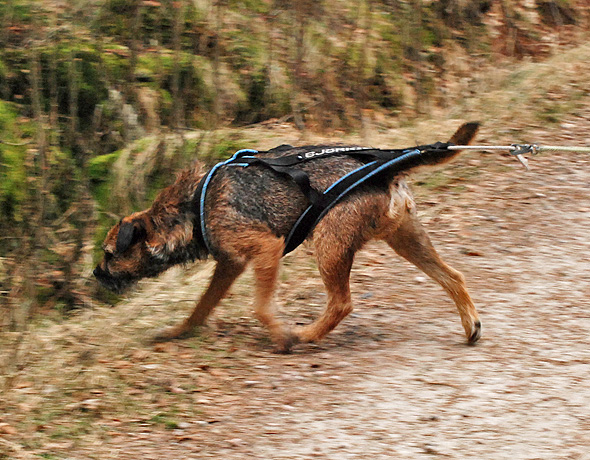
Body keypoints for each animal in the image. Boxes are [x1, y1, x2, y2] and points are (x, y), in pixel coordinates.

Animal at [94, 123, 481, 352]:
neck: (193, 207)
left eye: (109, 253)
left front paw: (280, 336)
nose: (95, 274)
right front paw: (178, 331)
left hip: (329, 243)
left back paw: (305, 335)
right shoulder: (229, 265)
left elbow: (261, 307)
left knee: (342, 303)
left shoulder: (266, 248)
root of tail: (386, 171)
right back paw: (470, 325)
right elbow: (201, 307)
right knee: (453, 276)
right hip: (406, 238)